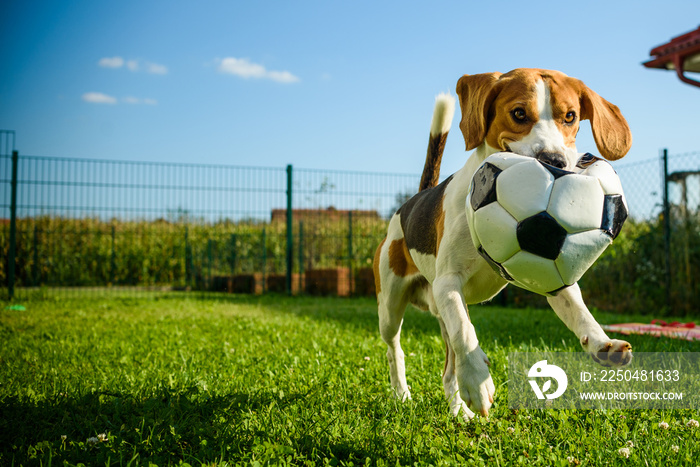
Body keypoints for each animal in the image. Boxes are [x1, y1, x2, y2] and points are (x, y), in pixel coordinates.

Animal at [378, 68, 636, 420]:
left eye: (570, 117)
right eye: (519, 114)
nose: (554, 160)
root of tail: (414, 200)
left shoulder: (553, 277)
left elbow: (580, 312)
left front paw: (601, 343)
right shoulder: (448, 283)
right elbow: (465, 330)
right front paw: (478, 380)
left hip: (438, 311)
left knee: (448, 370)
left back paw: (459, 411)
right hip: (390, 307)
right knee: (397, 349)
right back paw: (402, 393)